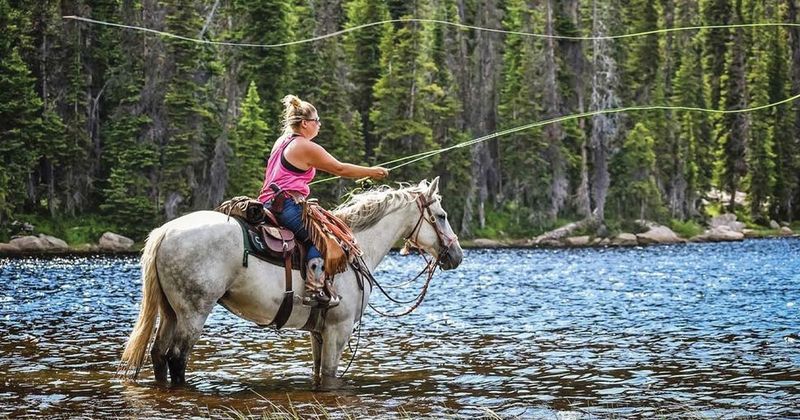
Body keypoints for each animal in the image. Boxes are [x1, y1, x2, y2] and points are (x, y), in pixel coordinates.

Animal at [119, 178, 463, 388]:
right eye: (442, 215)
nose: (456, 255)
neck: (355, 246)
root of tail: (165, 231)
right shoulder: (338, 329)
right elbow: (329, 375)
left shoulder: (318, 331)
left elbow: (317, 372)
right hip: (193, 312)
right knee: (177, 358)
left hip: (170, 310)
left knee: (158, 354)